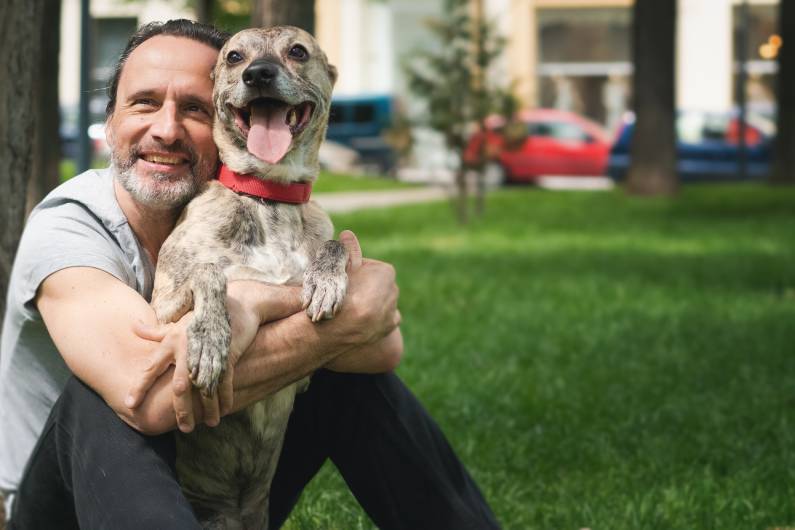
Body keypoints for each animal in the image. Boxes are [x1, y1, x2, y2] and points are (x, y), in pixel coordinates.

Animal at [151, 26, 346, 524]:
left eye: (297, 51)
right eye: (235, 56)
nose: (258, 74)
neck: (268, 196)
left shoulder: (306, 376)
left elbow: (336, 241)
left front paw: (326, 280)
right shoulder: (158, 311)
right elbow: (209, 272)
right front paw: (209, 338)